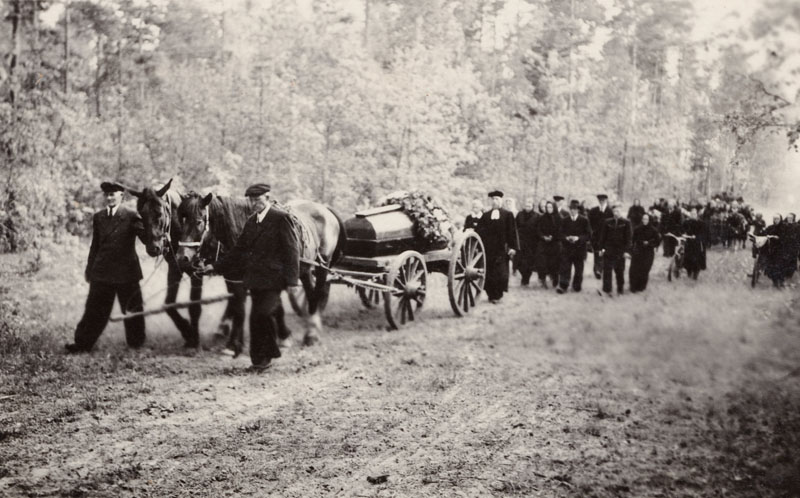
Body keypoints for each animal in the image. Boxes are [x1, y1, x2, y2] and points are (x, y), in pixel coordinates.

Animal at [177, 194, 346, 346]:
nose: (182, 258)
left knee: (318, 294)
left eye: (199, 221)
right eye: (181, 220)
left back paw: (312, 333)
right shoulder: (235, 277)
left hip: (322, 265)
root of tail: (325, 209)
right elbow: (241, 306)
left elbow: (273, 305)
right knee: (311, 294)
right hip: (304, 270)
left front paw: (282, 336)